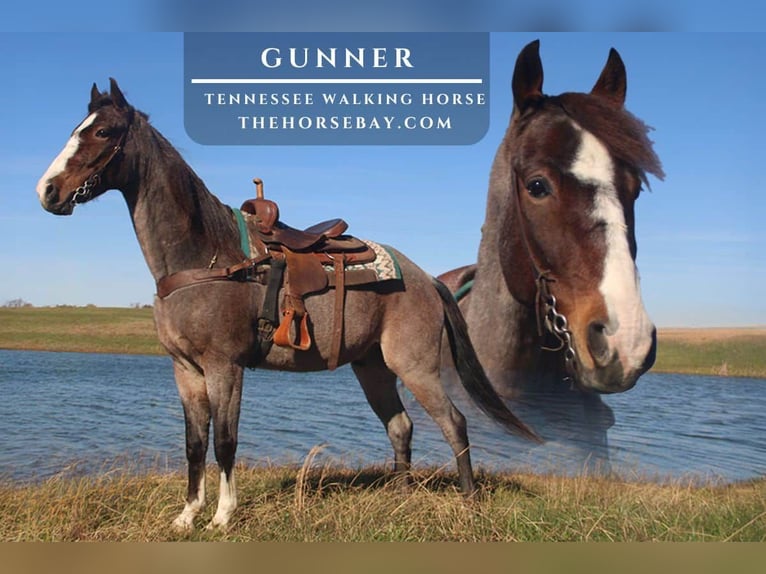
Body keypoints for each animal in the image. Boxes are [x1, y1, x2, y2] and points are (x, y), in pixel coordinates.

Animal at [35, 79, 539, 530]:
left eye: (103, 132)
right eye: (77, 128)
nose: (48, 191)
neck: (203, 257)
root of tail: (428, 279)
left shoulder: (224, 367)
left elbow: (225, 441)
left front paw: (222, 517)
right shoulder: (185, 370)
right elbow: (194, 444)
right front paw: (186, 517)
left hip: (414, 365)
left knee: (454, 423)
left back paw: (469, 502)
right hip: (373, 367)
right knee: (400, 426)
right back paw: (401, 497)